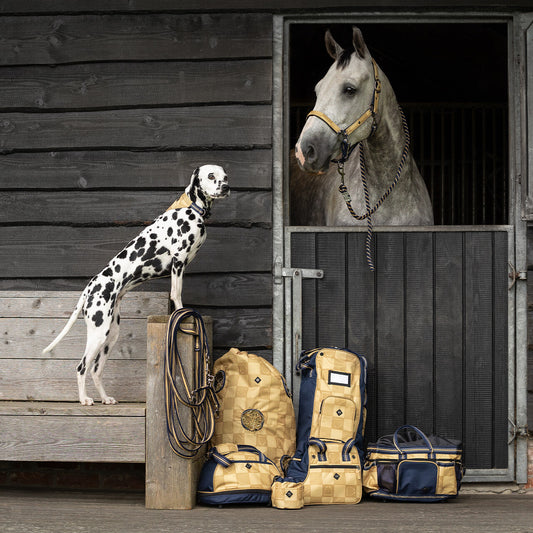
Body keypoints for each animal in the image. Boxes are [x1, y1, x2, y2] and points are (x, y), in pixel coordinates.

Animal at [42, 164, 230, 406]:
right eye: (210, 176)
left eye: (225, 176)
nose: (225, 187)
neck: (192, 208)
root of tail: (89, 288)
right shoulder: (178, 262)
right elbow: (176, 294)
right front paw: (181, 312)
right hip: (98, 334)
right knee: (81, 367)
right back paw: (84, 399)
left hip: (110, 335)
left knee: (95, 370)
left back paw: (105, 398)